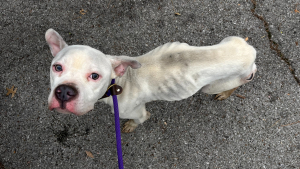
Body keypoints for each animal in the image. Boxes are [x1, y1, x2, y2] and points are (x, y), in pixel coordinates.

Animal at [45, 28, 256, 133]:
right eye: (57, 67)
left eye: (95, 76)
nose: (65, 91)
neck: (118, 83)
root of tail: (250, 51)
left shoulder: (138, 113)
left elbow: (138, 120)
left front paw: (130, 126)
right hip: (231, 39)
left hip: (214, 85)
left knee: (241, 81)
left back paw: (225, 93)